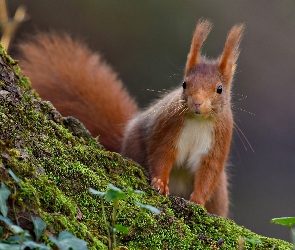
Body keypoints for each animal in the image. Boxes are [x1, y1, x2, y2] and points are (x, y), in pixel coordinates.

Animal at [19, 19, 245, 217]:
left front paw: (197, 201)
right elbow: (161, 154)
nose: (197, 102)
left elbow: (208, 173)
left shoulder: (218, 143)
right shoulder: (168, 127)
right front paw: (160, 183)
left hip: (220, 193)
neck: (198, 121)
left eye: (219, 89)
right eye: (184, 84)